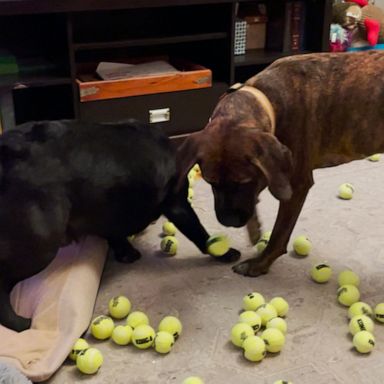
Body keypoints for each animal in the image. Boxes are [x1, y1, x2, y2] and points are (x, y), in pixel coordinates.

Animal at [0, 118, 240, 332]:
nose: (231, 219)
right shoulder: (177, 203)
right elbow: (200, 233)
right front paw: (225, 253)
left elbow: (114, 234)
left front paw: (126, 252)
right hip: (40, 244)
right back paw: (19, 323)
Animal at [177, 51, 384, 278]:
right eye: (211, 182)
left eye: (243, 182)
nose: (228, 221)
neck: (268, 98)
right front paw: (254, 228)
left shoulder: (295, 185)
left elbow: (279, 233)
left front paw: (259, 264)